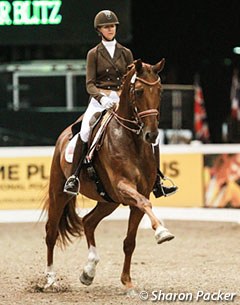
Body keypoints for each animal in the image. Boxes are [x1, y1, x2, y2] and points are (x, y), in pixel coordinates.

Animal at [43, 58, 172, 290]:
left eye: (160, 90)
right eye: (139, 91)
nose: (152, 135)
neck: (132, 140)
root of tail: (64, 135)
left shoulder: (135, 196)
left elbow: (130, 242)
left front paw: (127, 282)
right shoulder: (123, 186)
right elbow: (146, 204)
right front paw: (162, 232)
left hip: (109, 200)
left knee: (88, 222)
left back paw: (89, 271)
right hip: (59, 192)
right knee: (51, 233)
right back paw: (50, 279)